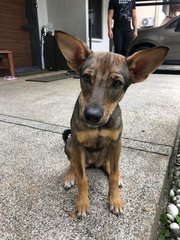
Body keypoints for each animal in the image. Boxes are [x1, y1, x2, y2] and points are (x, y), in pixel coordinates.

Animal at [55, 31, 168, 218]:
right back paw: (70, 176)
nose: (91, 116)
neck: (99, 126)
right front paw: (82, 203)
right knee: (74, 164)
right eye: (86, 77)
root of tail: (93, 163)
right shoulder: (78, 144)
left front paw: (115, 200)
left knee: (109, 167)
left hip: (110, 151)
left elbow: (113, 175)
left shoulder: (116, 143)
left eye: (117, 83)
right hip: (70, 143)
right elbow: (82, 177)